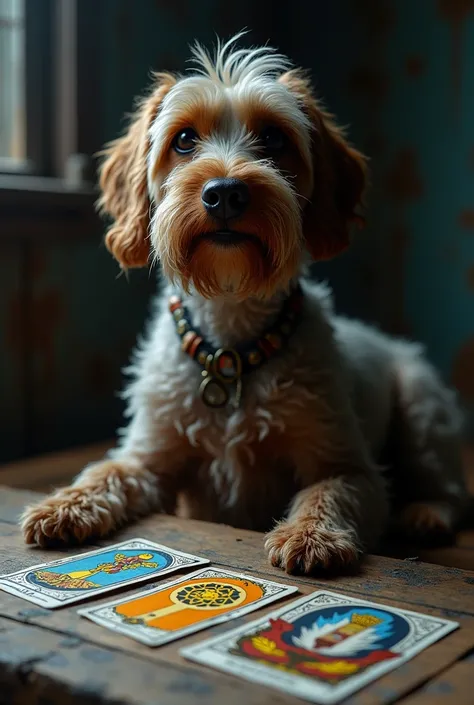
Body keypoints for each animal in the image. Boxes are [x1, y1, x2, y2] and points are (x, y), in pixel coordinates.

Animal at [21, 34, 466, 572]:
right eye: (183, 140)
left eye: (274, 139)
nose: (225, 193)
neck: (232, 342)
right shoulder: (150, 457)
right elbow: (107, 472)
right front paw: (65, 504)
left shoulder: (349, 466)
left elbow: (328, 493)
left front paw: (310, 536)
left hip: (422, 410)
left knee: (449, 488)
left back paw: (426, 513)